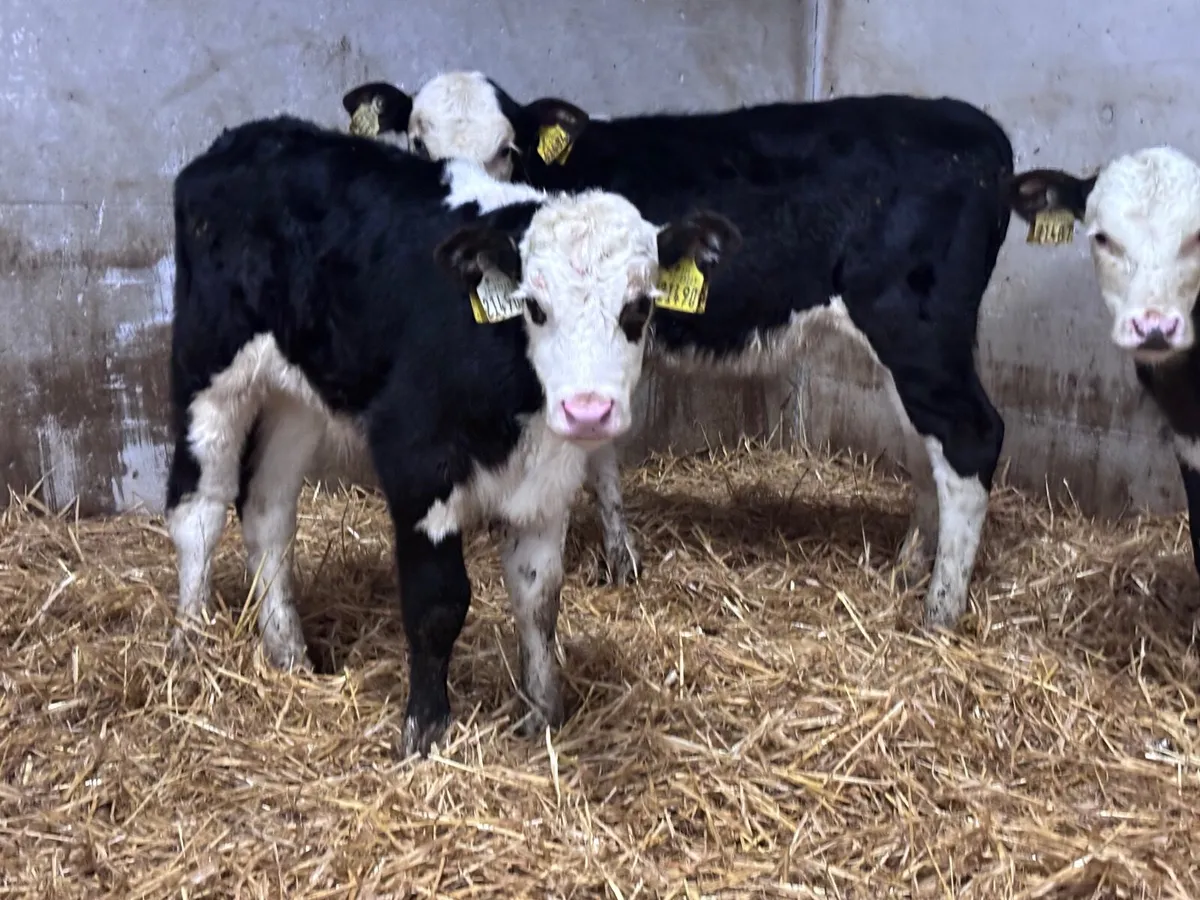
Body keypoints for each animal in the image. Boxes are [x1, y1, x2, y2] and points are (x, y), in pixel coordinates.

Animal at [165, 113, 740, 757]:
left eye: (638, 309)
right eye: (534, 308)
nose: (587, 410)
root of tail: (246, 137)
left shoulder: (547, 481)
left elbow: (539, 596)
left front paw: (543, 714)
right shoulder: (415, 460)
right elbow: (438, 601)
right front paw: (424, 729)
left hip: (298, 396)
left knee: (268, 510)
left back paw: (289, 655)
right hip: (207, 369)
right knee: (199, 509)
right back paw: (191, 648)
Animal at [339, 71, 1016, 630]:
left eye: (505, 149)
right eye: (419, 143)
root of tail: (978, 129)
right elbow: (601, 455)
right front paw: (620, 560)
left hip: (917, 329)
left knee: (970, 437)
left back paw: (940, 612)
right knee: (928, 446)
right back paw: (911, 565)